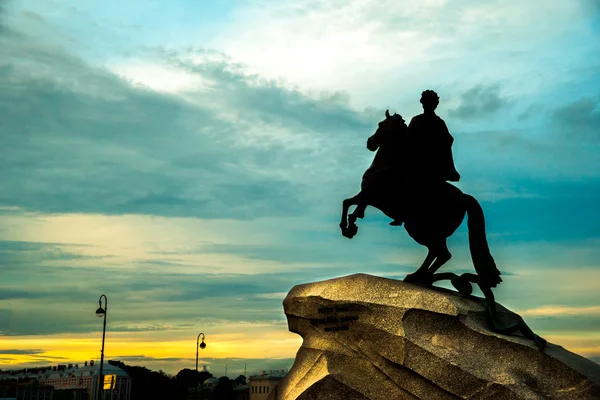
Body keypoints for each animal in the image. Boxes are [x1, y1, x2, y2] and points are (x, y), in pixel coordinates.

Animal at [338, 110, 548, 350]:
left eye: (382, 124)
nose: (370, 142)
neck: (388, 165)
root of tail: (464, 198)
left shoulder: (373, 196)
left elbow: (349, 203)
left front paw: (347, 227)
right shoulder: (367, 196)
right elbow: (351, 203)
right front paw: (351, 225)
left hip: (419, 228)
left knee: (441, 252)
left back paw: (420, 277)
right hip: (424, 230)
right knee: (439, 252)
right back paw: (423, 277)